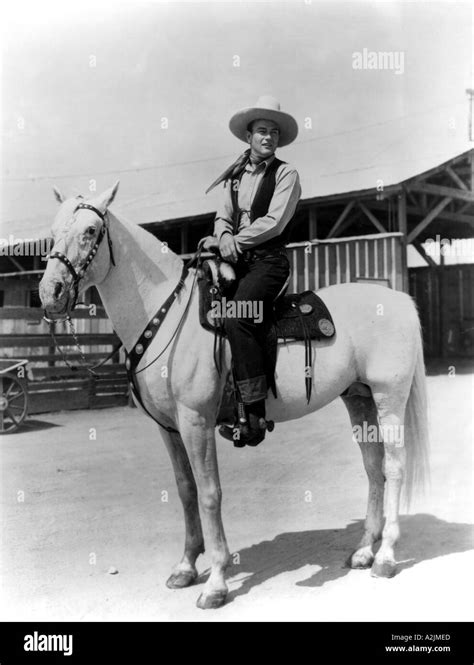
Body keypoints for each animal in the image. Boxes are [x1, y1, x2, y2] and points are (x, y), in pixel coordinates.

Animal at [40, 184, 430, 608]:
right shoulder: (170, 429)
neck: (167, 314)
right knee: (374, 469)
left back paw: (386, 557)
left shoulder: (196, 422)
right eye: (52, 231)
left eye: (91, 230)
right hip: (359, 399)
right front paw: (185, 567)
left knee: (394, 468)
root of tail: (398, 300)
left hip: (389, 398)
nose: (50, 293)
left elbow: (210, 494)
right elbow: (186, 490)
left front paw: (215, 582)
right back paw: (363, 551)